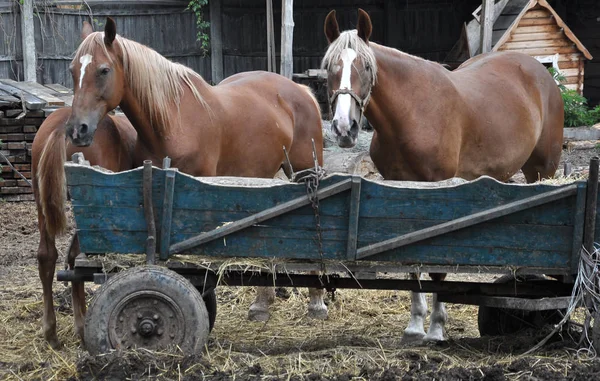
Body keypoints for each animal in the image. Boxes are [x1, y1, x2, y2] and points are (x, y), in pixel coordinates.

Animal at [31, 107, 138, 348]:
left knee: (47, 256)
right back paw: (82, 326)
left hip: (41, 203)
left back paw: (51, 331)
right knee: (76, 260)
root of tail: (62, 125)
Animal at [65, 18, 326, 324]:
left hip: (306, 169)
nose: (77, 130)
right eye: (72, 70)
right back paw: (262, 303)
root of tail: (300, 90)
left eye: (104, 70)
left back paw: (317, 301)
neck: (172, 121)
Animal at [322, 8, 564, 342]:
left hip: (542, 170)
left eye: (367, 67)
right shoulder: (402, 188)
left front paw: (436, 328)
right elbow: (411, 261)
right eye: (330, 68)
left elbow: (437, 267)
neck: (413, 113)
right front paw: (414, 326)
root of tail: (539, 72)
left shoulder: (439, 187)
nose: (344, 129)